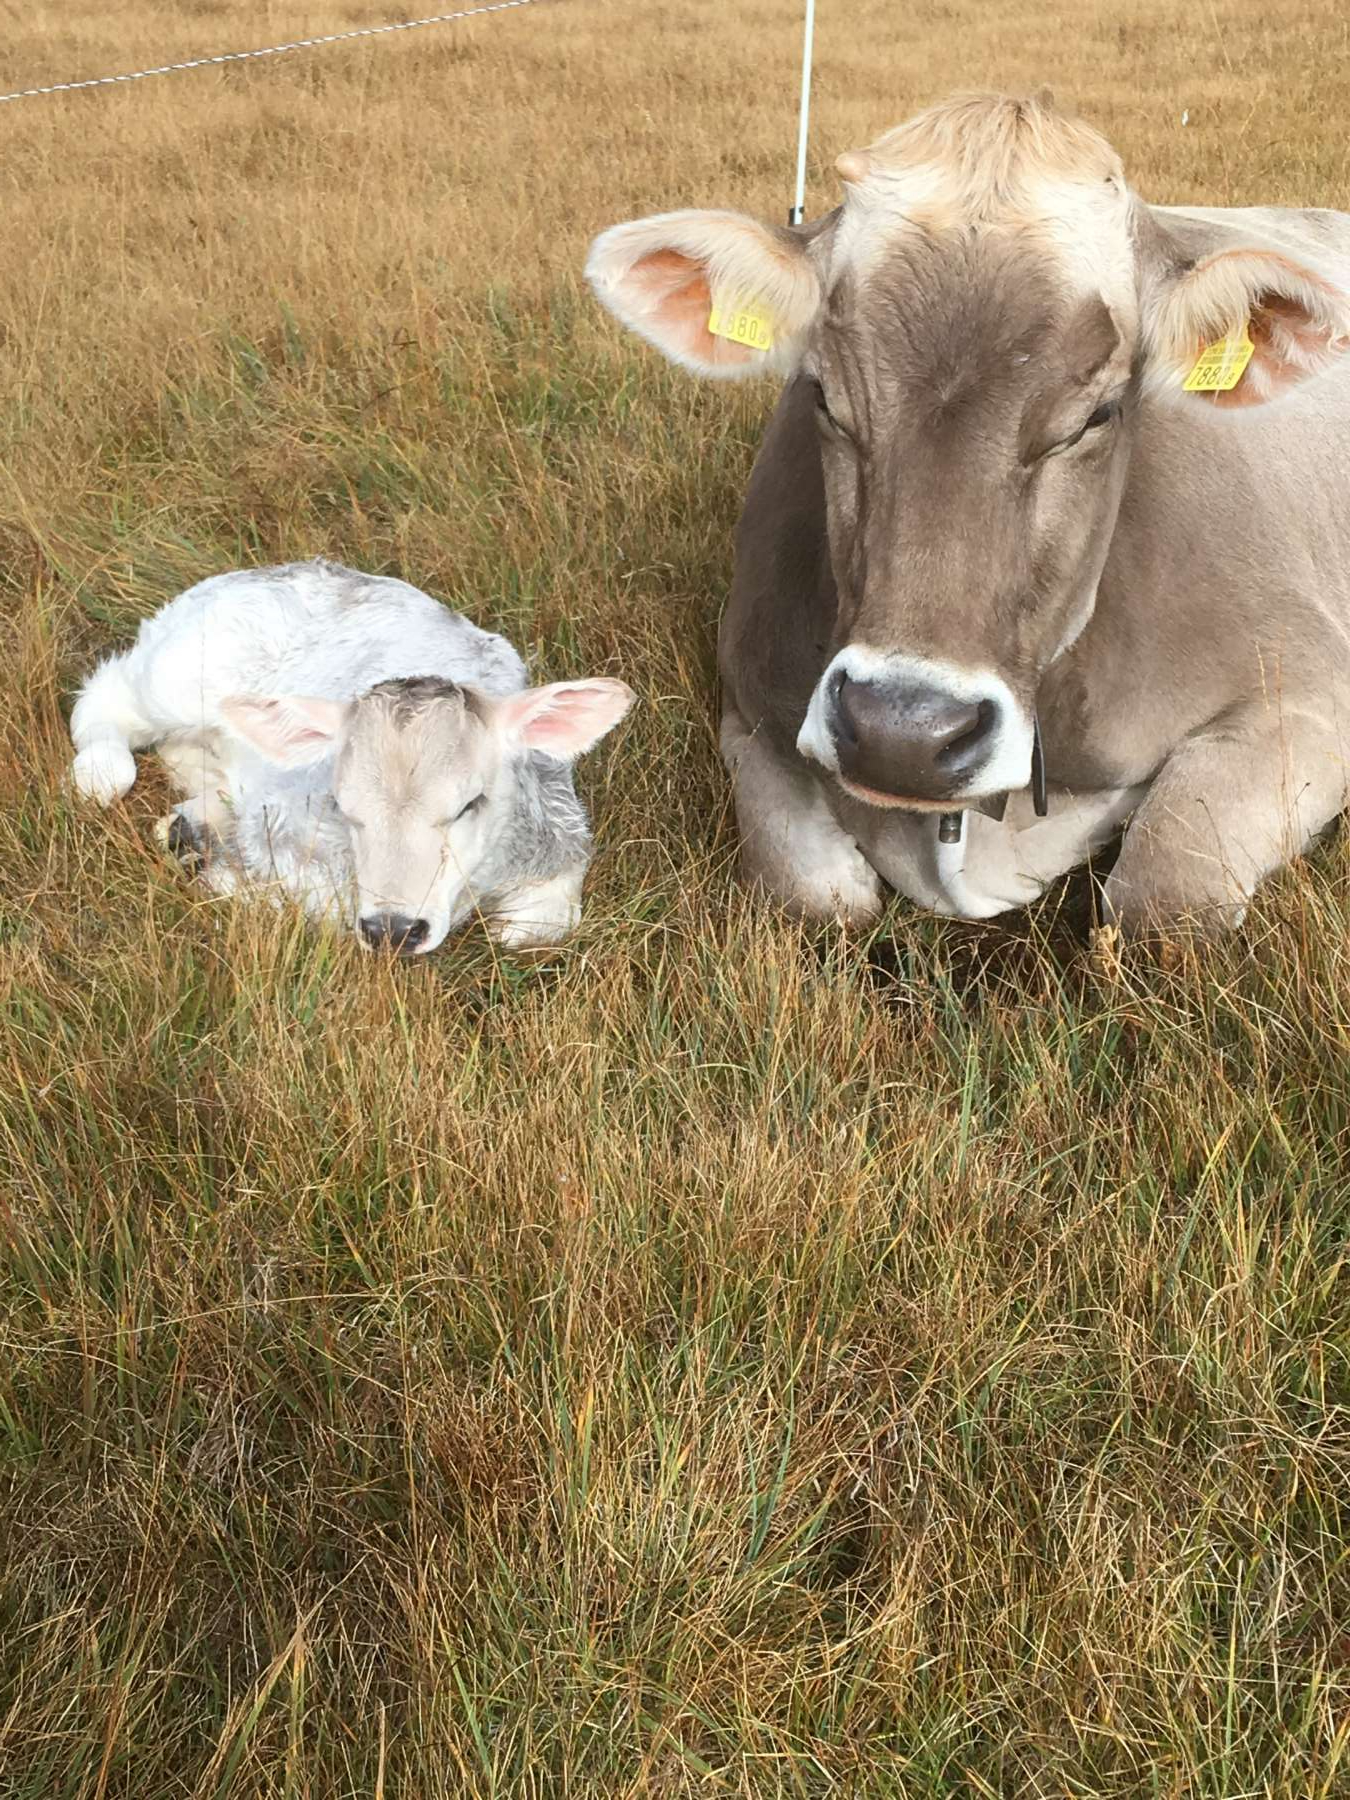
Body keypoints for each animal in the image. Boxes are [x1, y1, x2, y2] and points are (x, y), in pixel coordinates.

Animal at [70, 560, 634, 953]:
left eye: (470, 804)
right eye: (343, 804)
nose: (393, 929)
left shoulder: (563, 835)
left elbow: (542, 924)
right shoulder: (284, 832)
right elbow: (320, 908)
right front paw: (229, 882)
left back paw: (190, 828)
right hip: (179, 676)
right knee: (106, 697)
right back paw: (101, 775)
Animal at [586, 91, 1350, 935]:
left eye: (1096, 414)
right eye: (823, 395)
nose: (902, 734)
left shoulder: (1305, 691)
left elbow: (1164, 894)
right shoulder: (750, 708)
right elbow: (814, 895)